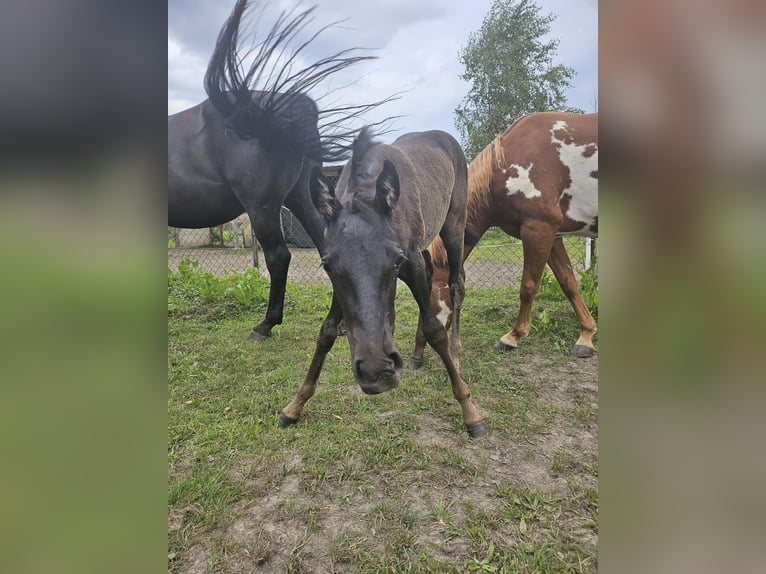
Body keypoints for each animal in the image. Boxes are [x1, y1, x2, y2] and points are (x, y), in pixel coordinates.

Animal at [280, 128, 488, 438]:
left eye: (395, 260)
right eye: (327, 265)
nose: (376, 371)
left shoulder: (411, 260)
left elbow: (435, 329)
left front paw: (469, 410)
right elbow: (326, 332)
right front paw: (295, 405)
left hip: (454, 225)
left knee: (456, 283)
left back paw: (456, 353)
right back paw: (417, 354)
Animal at [412, 111, 604, 368]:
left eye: (429, 298)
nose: (415, 357)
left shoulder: (538, 230)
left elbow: (528, 287)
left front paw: (513, 336)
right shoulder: (552, 236)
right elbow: (568, 283)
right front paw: (586, 335)